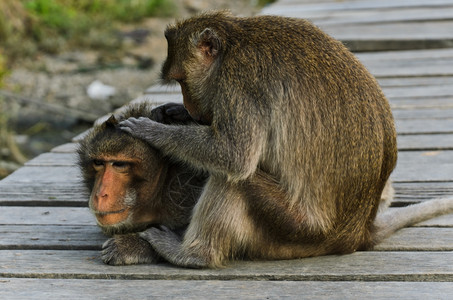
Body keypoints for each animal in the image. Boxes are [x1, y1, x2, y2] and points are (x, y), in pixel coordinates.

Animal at [115, 11, 452, 268]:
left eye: (183, 81)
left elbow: (233, 156)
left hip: (295, 231)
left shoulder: (240, 82)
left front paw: (152, 131)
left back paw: (192, 255)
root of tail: (354, 233)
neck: (235, 41)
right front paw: (174, 112)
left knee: (235, 180)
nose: (191, 105)